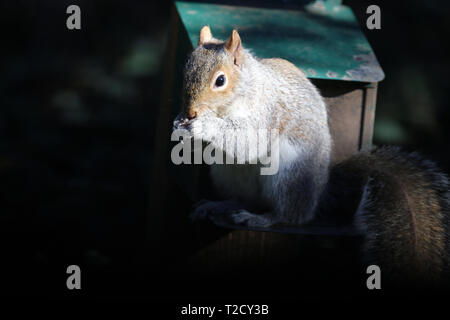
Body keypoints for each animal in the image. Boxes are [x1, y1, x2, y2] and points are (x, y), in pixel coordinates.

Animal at [173, 26, 450, 282]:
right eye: (185, 72)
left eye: (220, 81)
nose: (190, 112)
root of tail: (320, 188)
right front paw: (179, 125)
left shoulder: (267, 112)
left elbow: (248, 141)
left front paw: (203, 125)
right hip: (227, 173)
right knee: (246, 199)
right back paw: (218, 204)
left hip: (288, 173)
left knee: (294, 215)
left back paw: (263, 219)